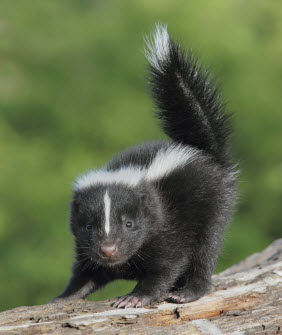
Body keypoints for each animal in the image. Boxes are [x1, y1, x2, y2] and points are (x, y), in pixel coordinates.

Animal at [51, 24, 237, 310]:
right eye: (88, 226)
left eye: (129, 224)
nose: (108, 249)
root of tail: (203, 151)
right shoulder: (86, 248)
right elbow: (86, 272)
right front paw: (65, 296)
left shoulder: (168, 226)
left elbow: (168, 264)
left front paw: (134, 297)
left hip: (213, 206)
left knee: (205, 251)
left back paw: (188, 291)